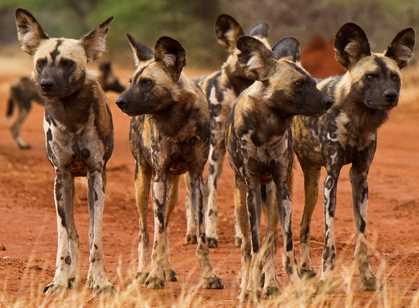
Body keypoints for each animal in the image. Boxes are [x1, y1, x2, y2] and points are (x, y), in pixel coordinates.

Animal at [15, 8, 115, 294]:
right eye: (41, 62)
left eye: (68, 63)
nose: (46, 84)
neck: (71, 116)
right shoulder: (62, 177)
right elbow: (64, 238)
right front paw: (59, 281)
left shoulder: (96, 175)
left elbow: (96, 237)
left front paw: (100, 281)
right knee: (72, 235)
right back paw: (70, 278)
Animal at [115, 35, 223, 290]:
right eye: (131, 81)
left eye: (146, 83)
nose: (118, 101)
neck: (178, 123)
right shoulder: (159, 176)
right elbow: (158, 235)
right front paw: (154, 275)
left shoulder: (195, 178)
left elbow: (200, 237)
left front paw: (208, 275)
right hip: (144, 184)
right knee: (147, 231)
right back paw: (144, 272)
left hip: (171, 189)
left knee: (162, 225)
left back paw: (167, 270)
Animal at [185, 13, 270, 248]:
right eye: (246, 54)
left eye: (269, 51)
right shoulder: (216, 151)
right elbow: (212, 197)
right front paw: (211, 235)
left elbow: (238, 199)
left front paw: (242, 236)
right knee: (194, 192)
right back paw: (193, 232)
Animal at [228, 35, 334, 300]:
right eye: (298, 84)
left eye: (312, 82)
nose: (329, 101)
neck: (267, 129)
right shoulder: (251, 187)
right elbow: (254, 246)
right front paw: (250, 288)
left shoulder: (283, 187)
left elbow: (285, 245)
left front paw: (293, 283)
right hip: (243, 199)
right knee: (248, 247)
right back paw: (248, 284)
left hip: (274, 198)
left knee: (270, 241)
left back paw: (271, 283)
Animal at [294, 22, 416, 290]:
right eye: (370, 77)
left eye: (394, 77)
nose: (391, 95)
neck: (359, 121)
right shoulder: (332, 178)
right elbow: (329, 239)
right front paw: (326, 277)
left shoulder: (360, 177)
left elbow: (361, 233)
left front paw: (368, 277)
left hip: (312, 185)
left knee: (304, 225)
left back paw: (305, 268)